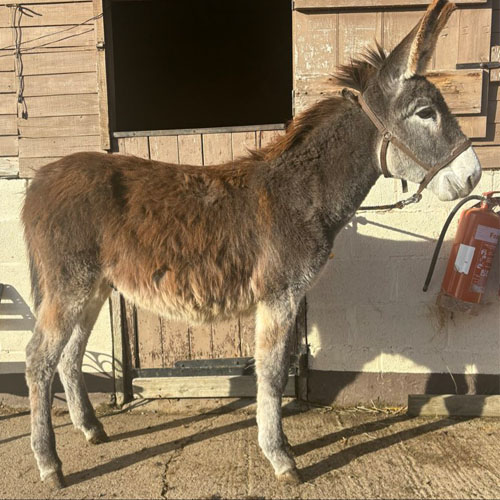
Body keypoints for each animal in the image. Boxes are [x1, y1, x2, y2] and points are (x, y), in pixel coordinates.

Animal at [22, 0, 481, 488]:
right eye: (426, 113)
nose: (473, 175)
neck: (302, 193)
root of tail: (41, 178)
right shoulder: (280, 294)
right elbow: (273, 372)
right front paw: (281, 457)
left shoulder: (284, 297)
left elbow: (272, 369)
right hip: (70, 286)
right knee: (38, 360)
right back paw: (50, 464)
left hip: (93, 288)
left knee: (69, 357)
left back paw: (91, 430)